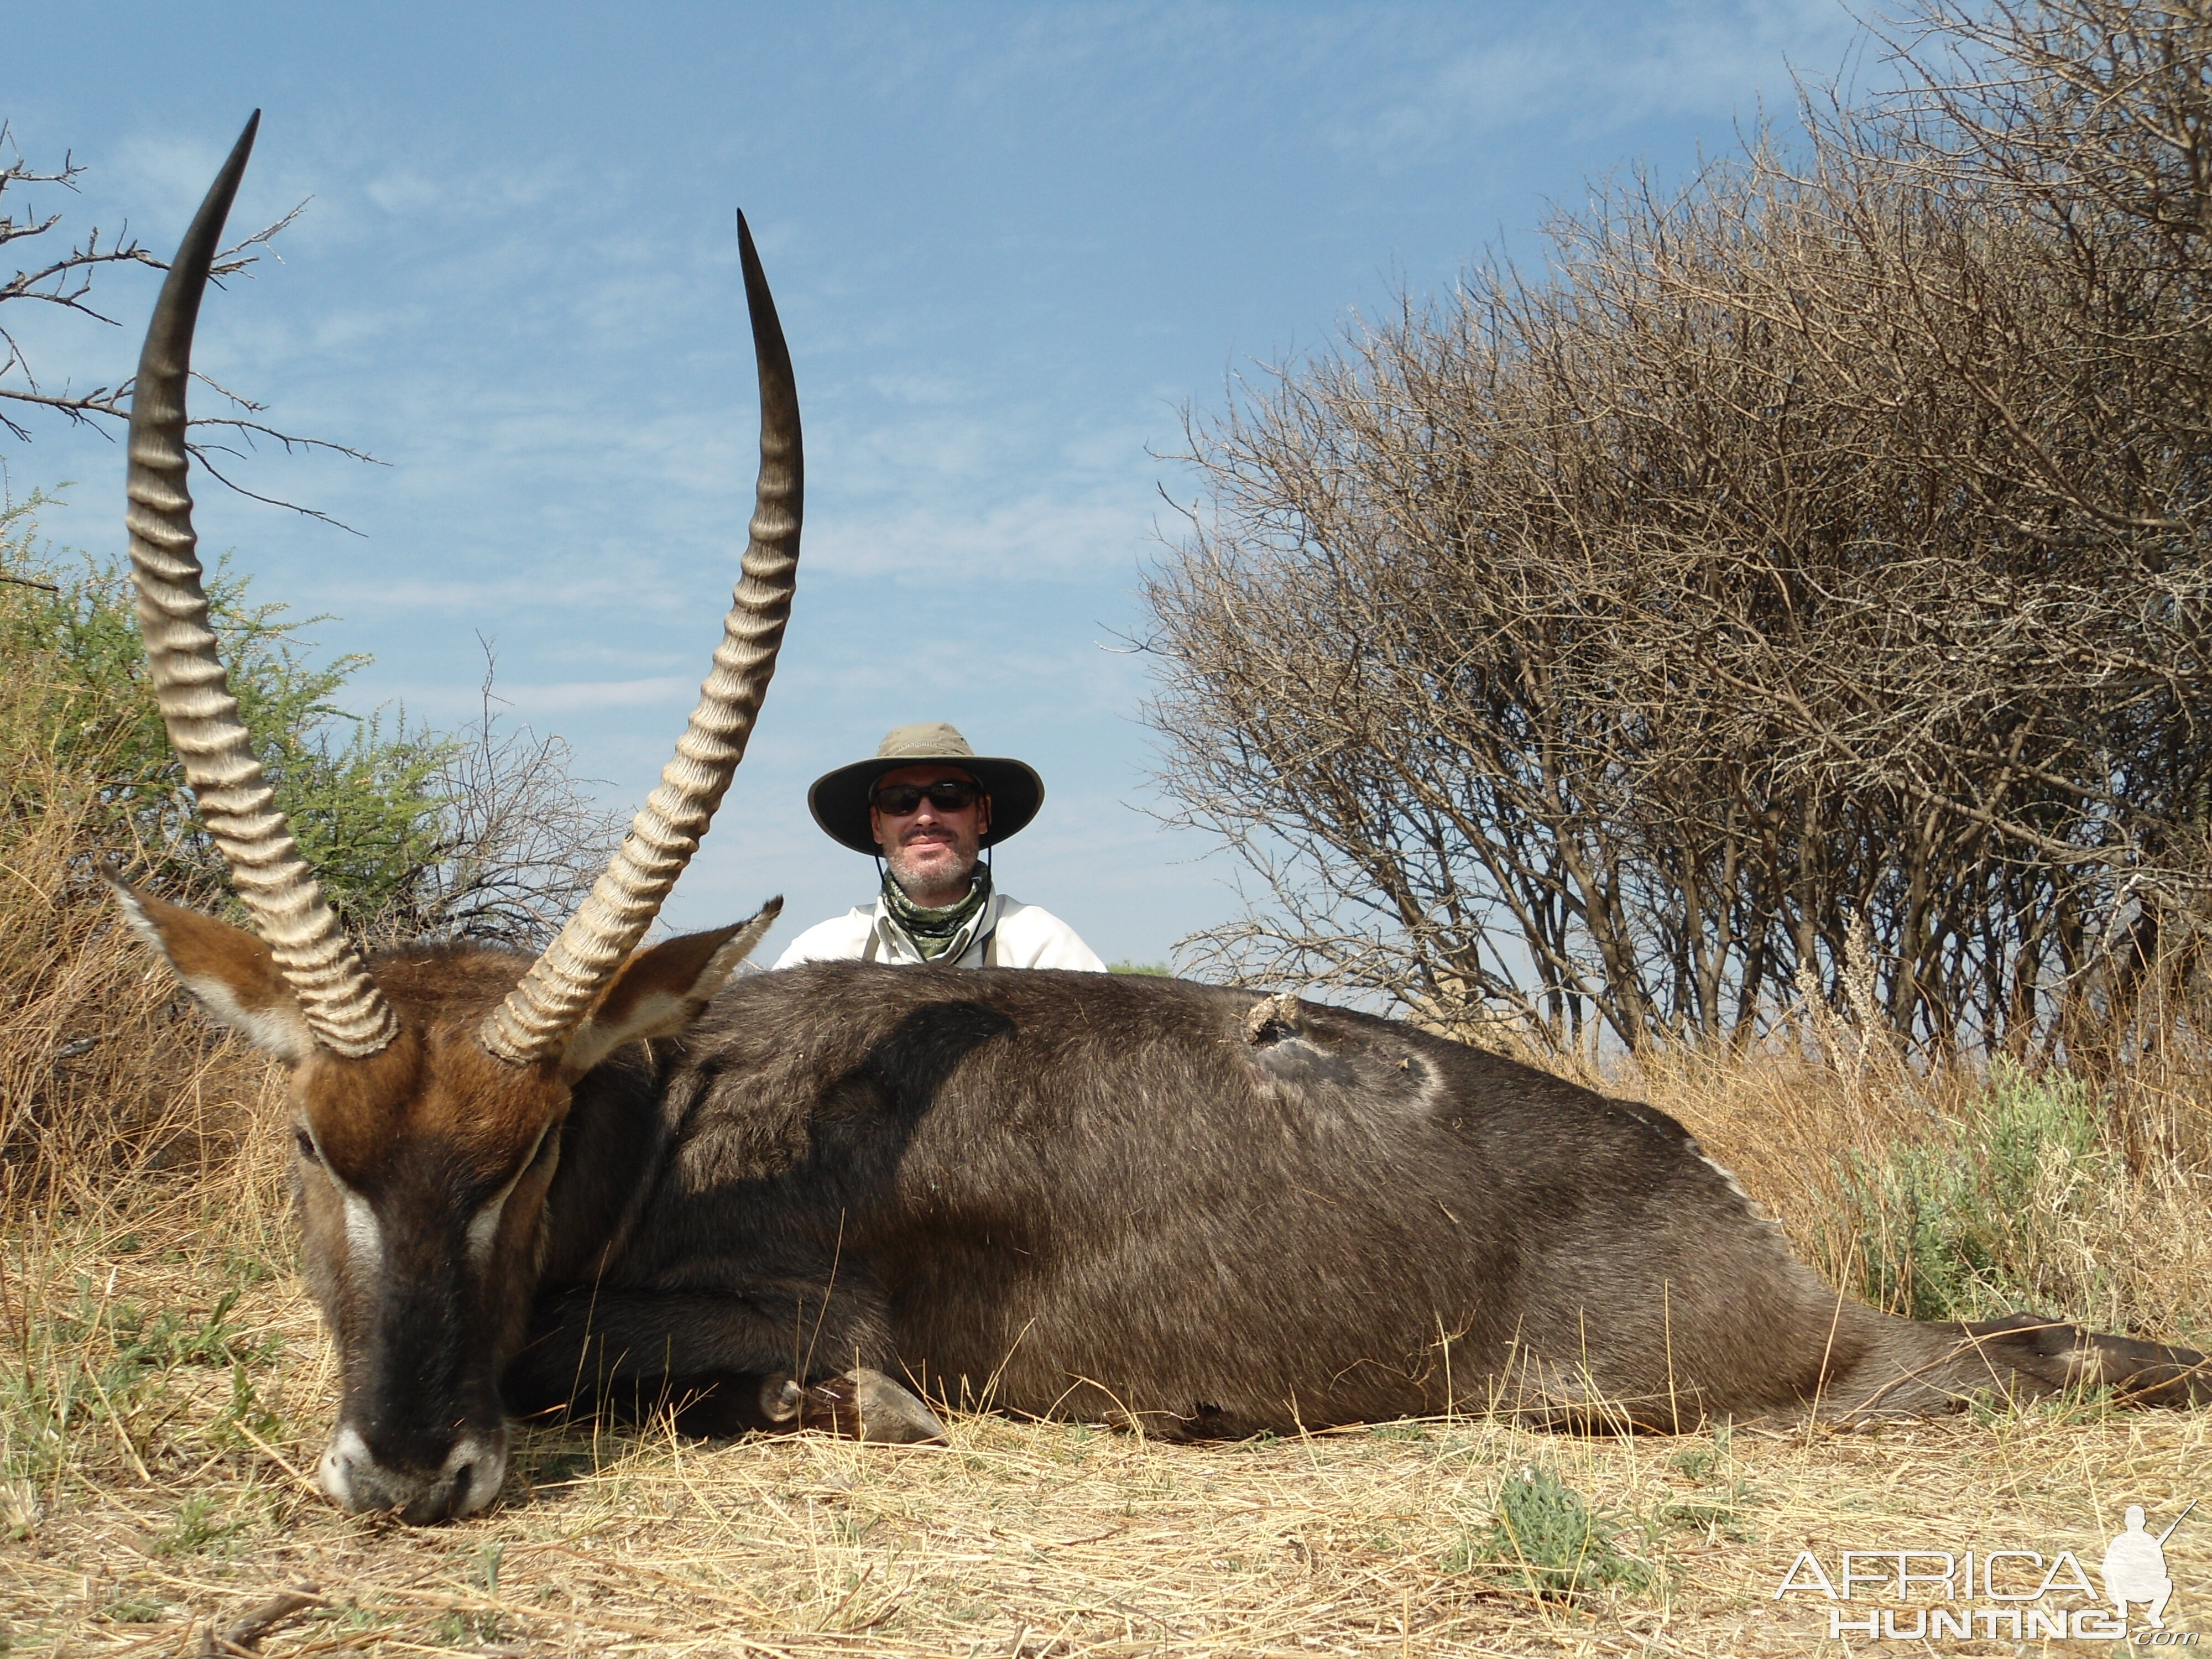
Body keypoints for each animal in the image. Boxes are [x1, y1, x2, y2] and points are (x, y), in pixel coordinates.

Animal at [126, 117, 2212, 1531]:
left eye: (526, 1149)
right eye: (314, 1146)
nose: (409, 1471)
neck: (677, 1114)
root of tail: (1716, 1191)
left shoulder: (776, 1297)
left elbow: (656, 1358)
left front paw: (846, 1411)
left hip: (1708, 1384)